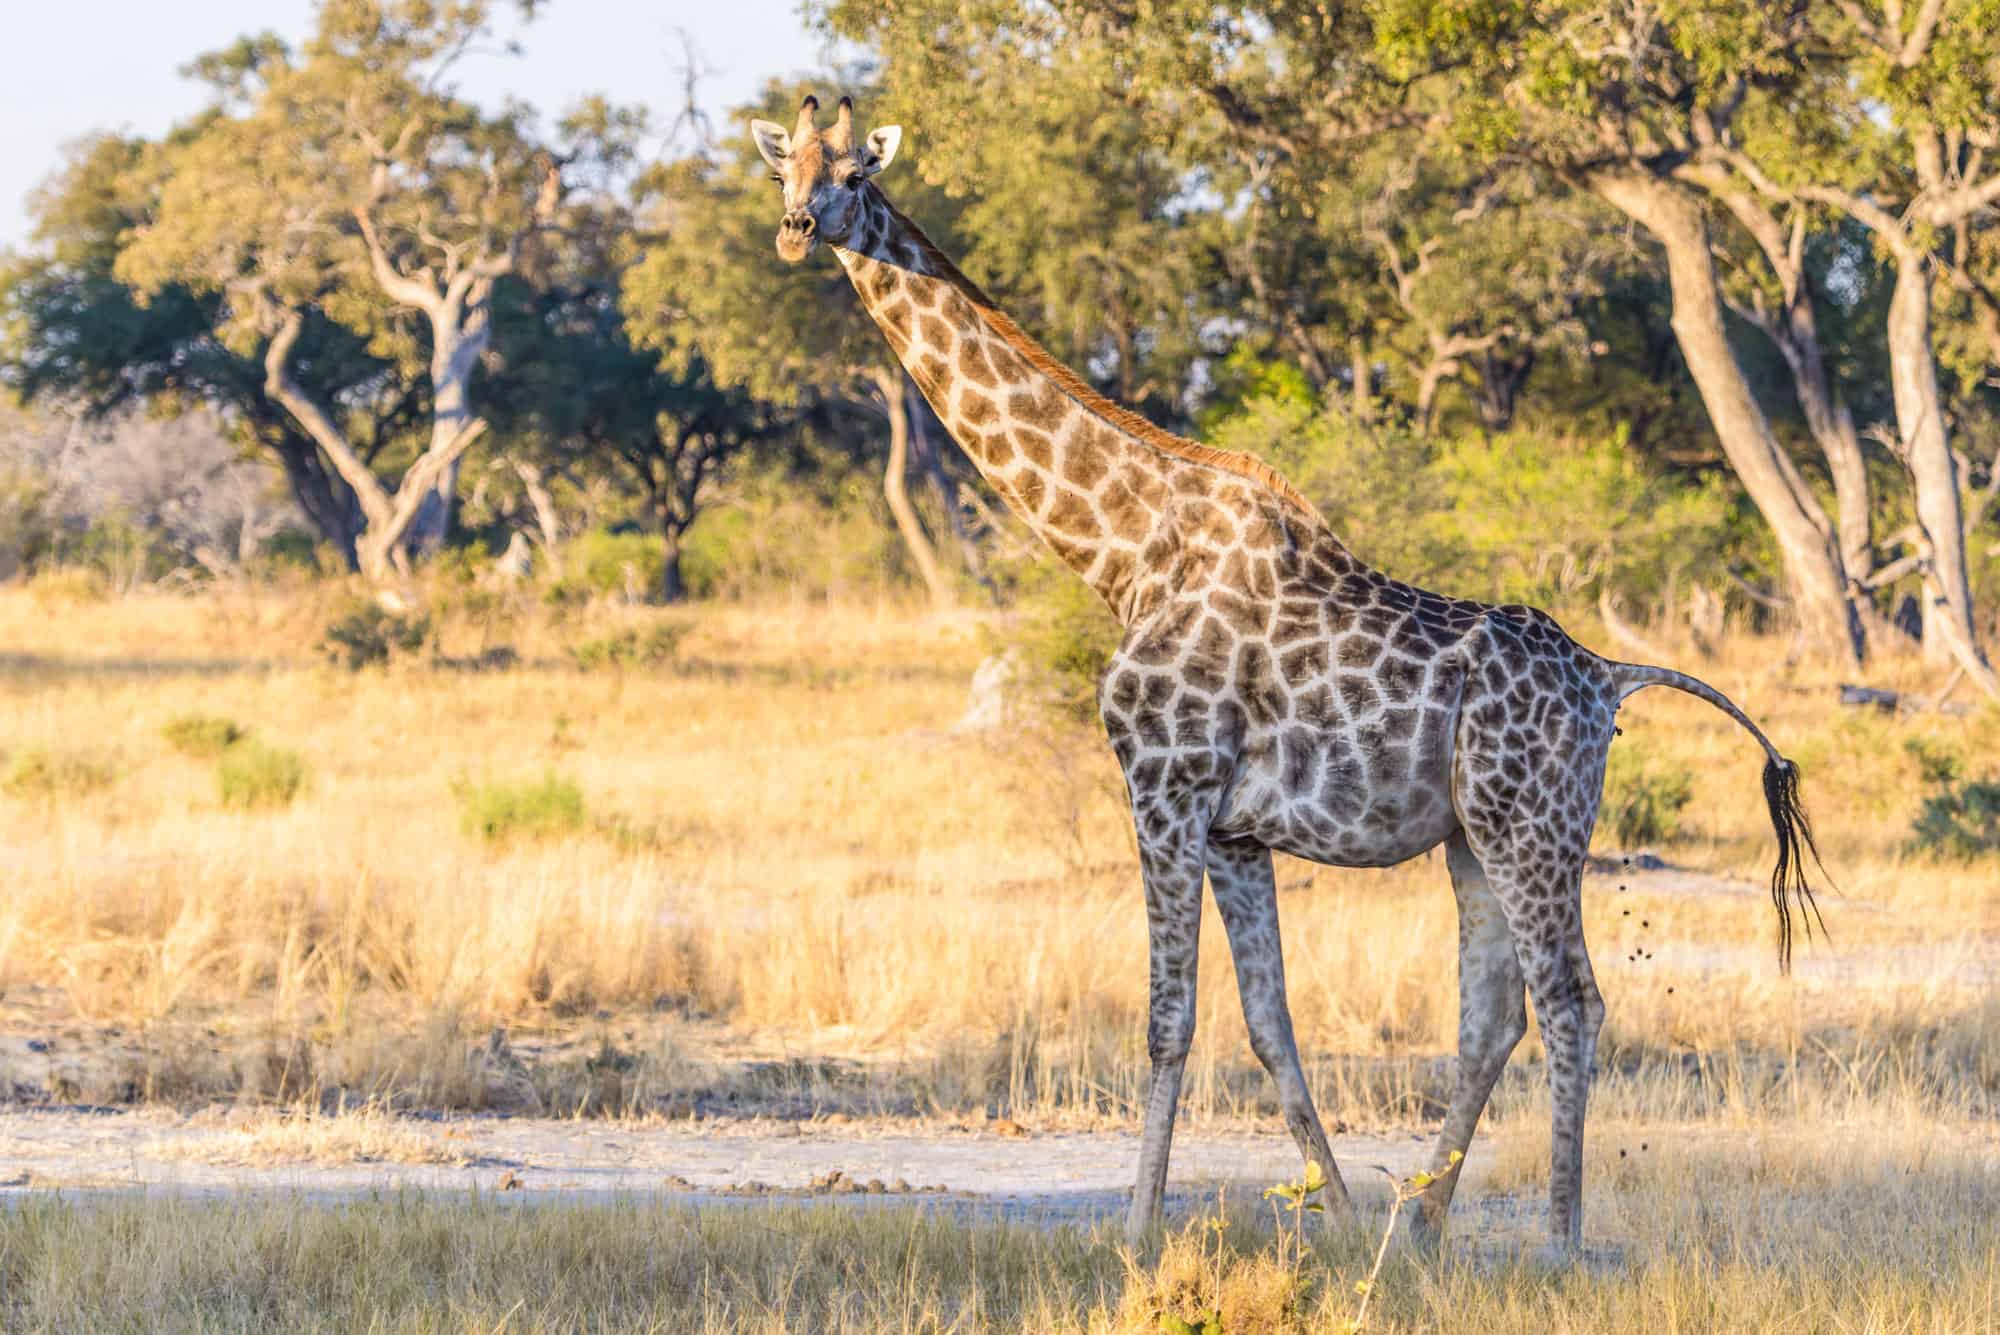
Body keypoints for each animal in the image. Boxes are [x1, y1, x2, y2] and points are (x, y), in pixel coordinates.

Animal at [752, 96, 1832, 1263]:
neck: (1124, 552)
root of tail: (1609, 679)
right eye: (788, 169)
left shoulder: (1164, 786)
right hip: (1473, 836)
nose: (798, 230)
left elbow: (1167, 1019)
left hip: (1532, 826)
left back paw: (1556, 1239)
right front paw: (1343, 1219)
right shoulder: (1234, 828)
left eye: (858, 173)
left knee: (1570, 1001)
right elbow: (1270, 1027)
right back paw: (1419, 1223)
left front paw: (1135, 1233)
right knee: (1494, 1012)